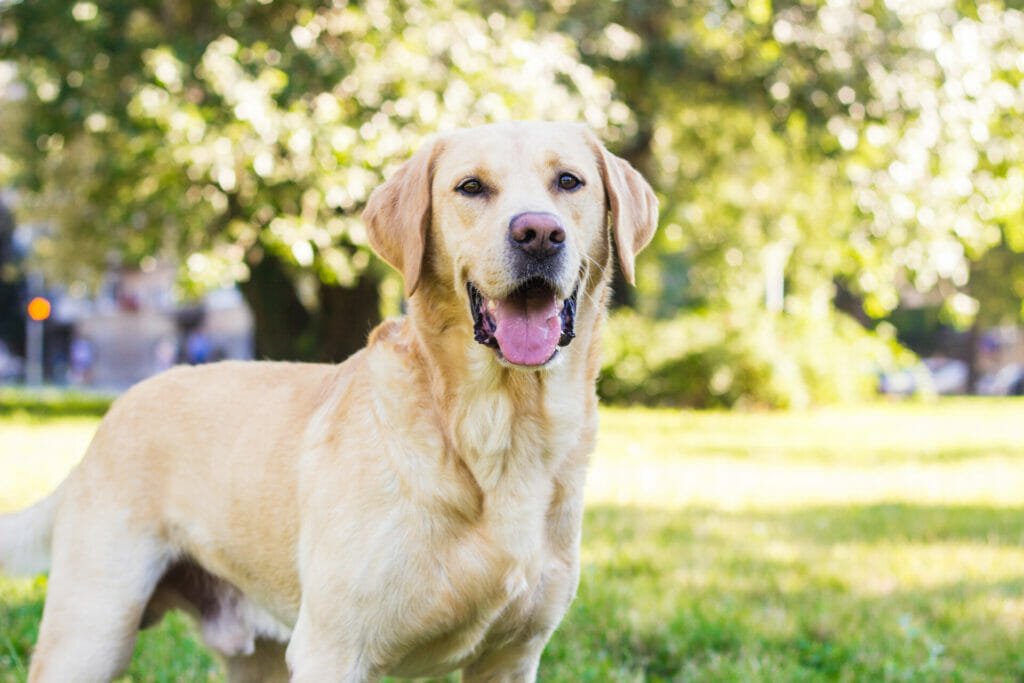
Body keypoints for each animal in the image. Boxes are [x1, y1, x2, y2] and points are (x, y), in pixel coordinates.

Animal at [0, 120, 655, 679]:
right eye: (471, 187)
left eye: (568, 181)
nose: (538, 233)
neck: (500, 428)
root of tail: (111, 416)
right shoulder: (334, 650)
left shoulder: (512, 659)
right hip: (91, 633)